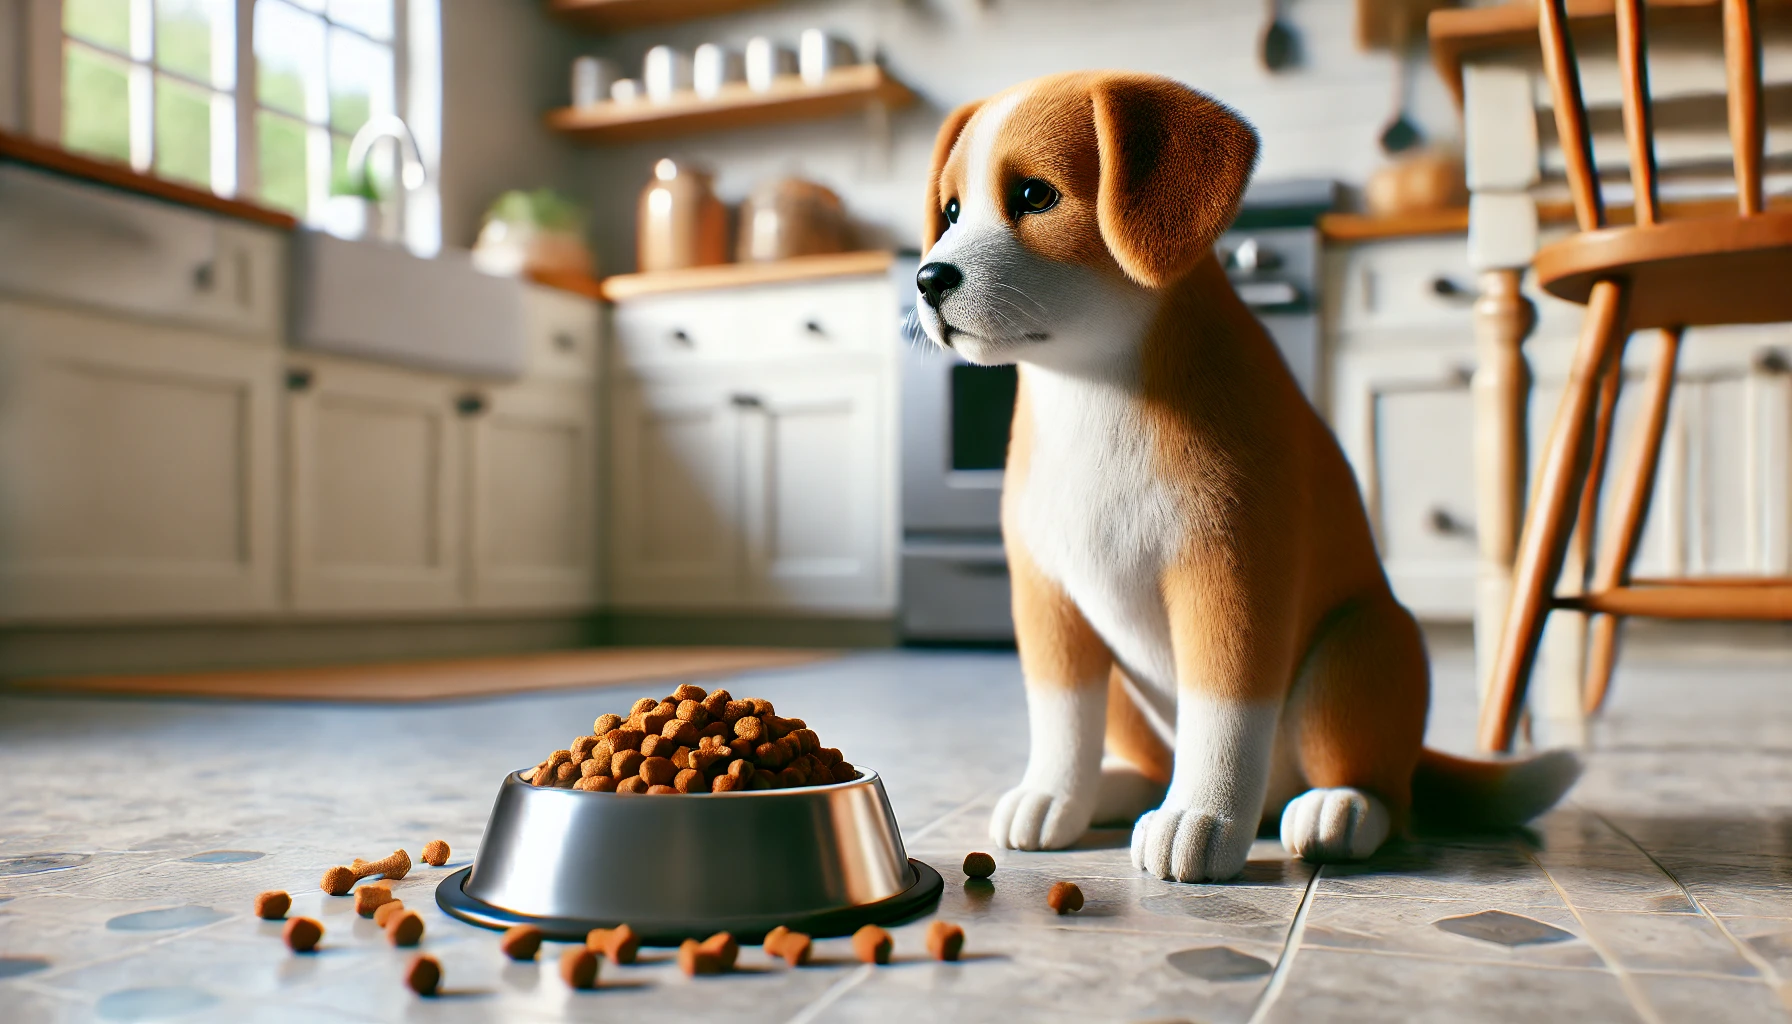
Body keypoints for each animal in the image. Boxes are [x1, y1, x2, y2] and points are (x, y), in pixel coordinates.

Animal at [917, 69, 1576, 882]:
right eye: (949, 211)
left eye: (1036, 196)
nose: (926, 278)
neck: (1094, 390)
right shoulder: (1049, 600)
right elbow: (1062, 719)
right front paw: (1053, 795)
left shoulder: (1229, 577)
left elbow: (1223, 716)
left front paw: (1202, 818)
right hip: (1136, 692)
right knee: (1144, 753)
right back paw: (1114, 790)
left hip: (1364, 644)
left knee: (1386, 794)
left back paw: (1338, 810)